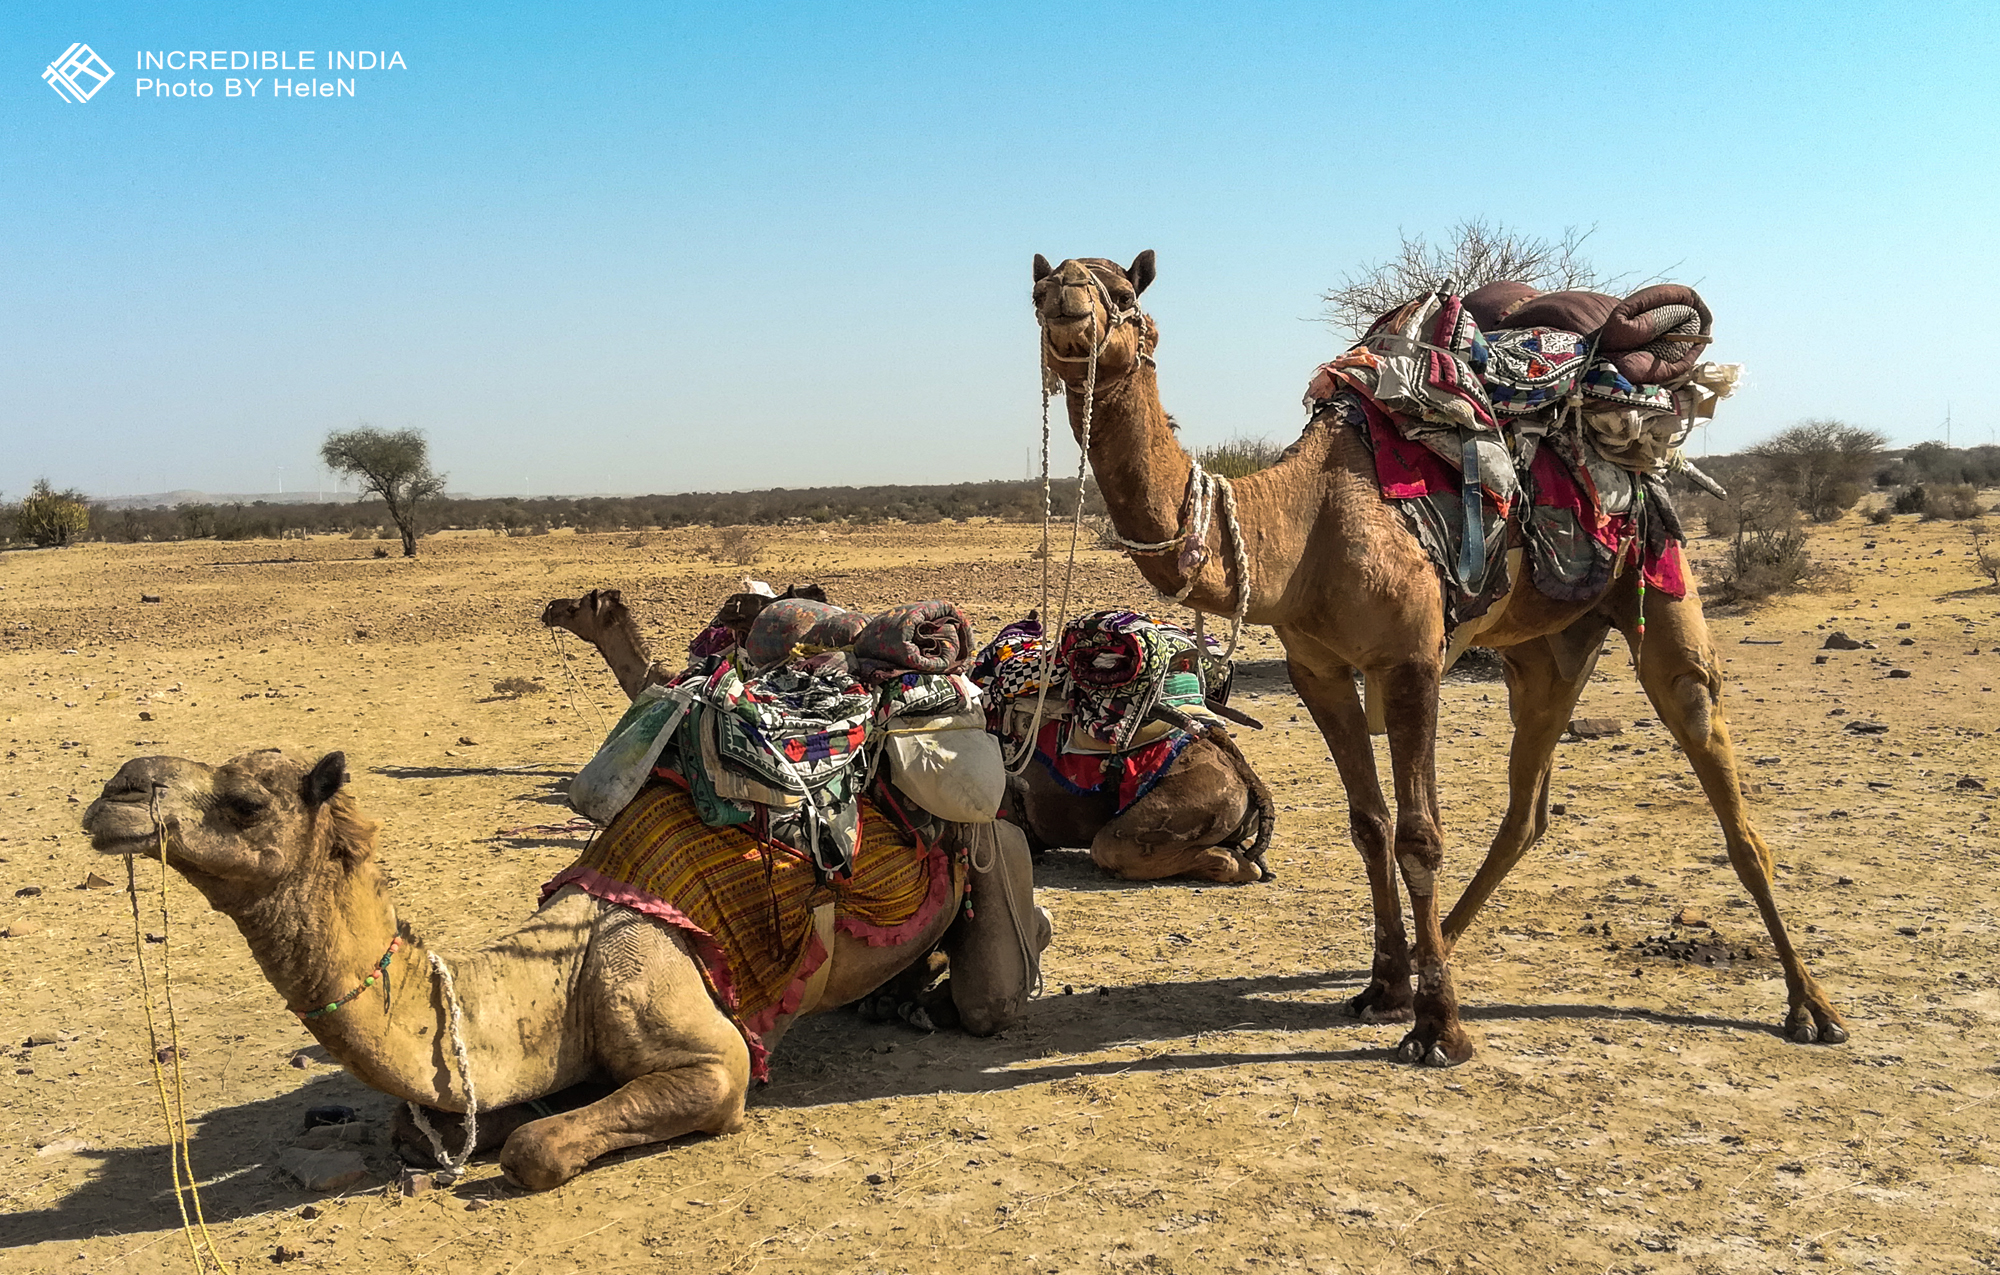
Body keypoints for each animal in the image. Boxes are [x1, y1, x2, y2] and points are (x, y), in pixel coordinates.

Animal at [82, 751, 1048, 1191]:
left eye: (246, 803)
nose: (115, 787)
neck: (555, 980)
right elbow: (431, 1127)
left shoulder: (708, 1051)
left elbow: (538, 1148)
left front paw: (530, 1141)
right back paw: (896, 999)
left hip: (1000, 839)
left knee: (995, 987)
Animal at [540, 591, 1272, 887]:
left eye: (579, 604)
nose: (548, 608)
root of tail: (1239, 771)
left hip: (1163, 810)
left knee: (1123, 848)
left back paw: (1234, 865)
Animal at [1032, 251, 1840, 1071]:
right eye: (1038, 290)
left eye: (1123, 293)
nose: (1066, 298)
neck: (1304, 524)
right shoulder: (1318, 670)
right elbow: (1368, 824)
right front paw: (1386, 983)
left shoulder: (1410, 660)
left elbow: (1419, 834)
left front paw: (1437, 1027)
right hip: (1542, 651)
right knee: (1527, 807)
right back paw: (1438, 946)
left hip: (1660, 580)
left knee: (1719, 776)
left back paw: (1812, 1007)